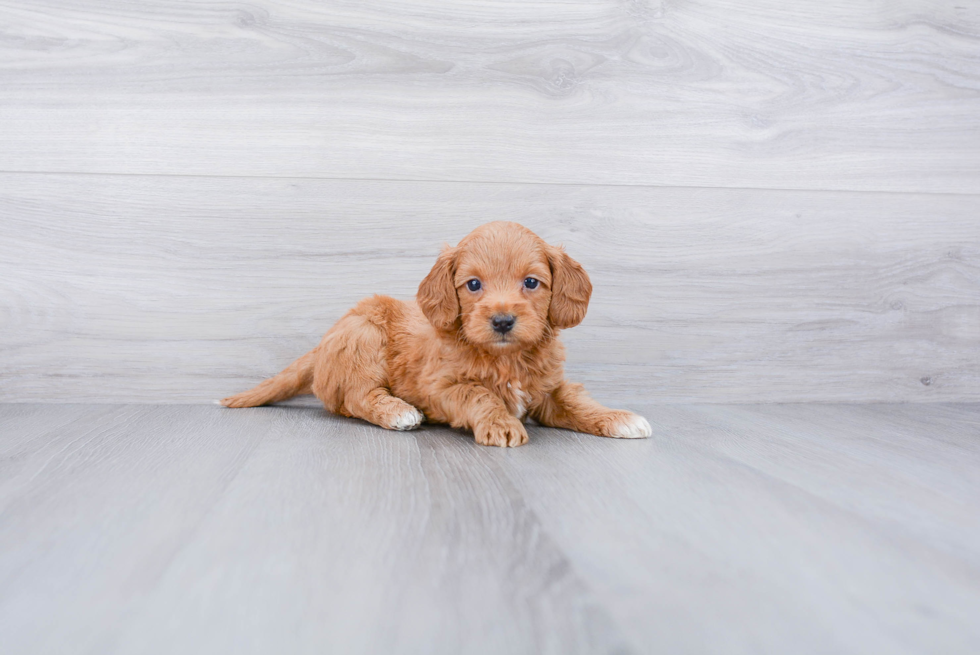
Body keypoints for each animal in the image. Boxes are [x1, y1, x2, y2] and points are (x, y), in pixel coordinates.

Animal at [222, 220, 652, 446]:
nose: (502, 321)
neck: (505, 358)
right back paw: (398, 412)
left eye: (531, 282)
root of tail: (325, 341)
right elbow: (479, 394)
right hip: (364, 336)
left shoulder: (548, 389)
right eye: (473, 285)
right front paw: (501, 424)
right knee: (357, 397)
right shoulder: (442, 387)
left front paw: (618, 417)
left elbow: (578, 403)